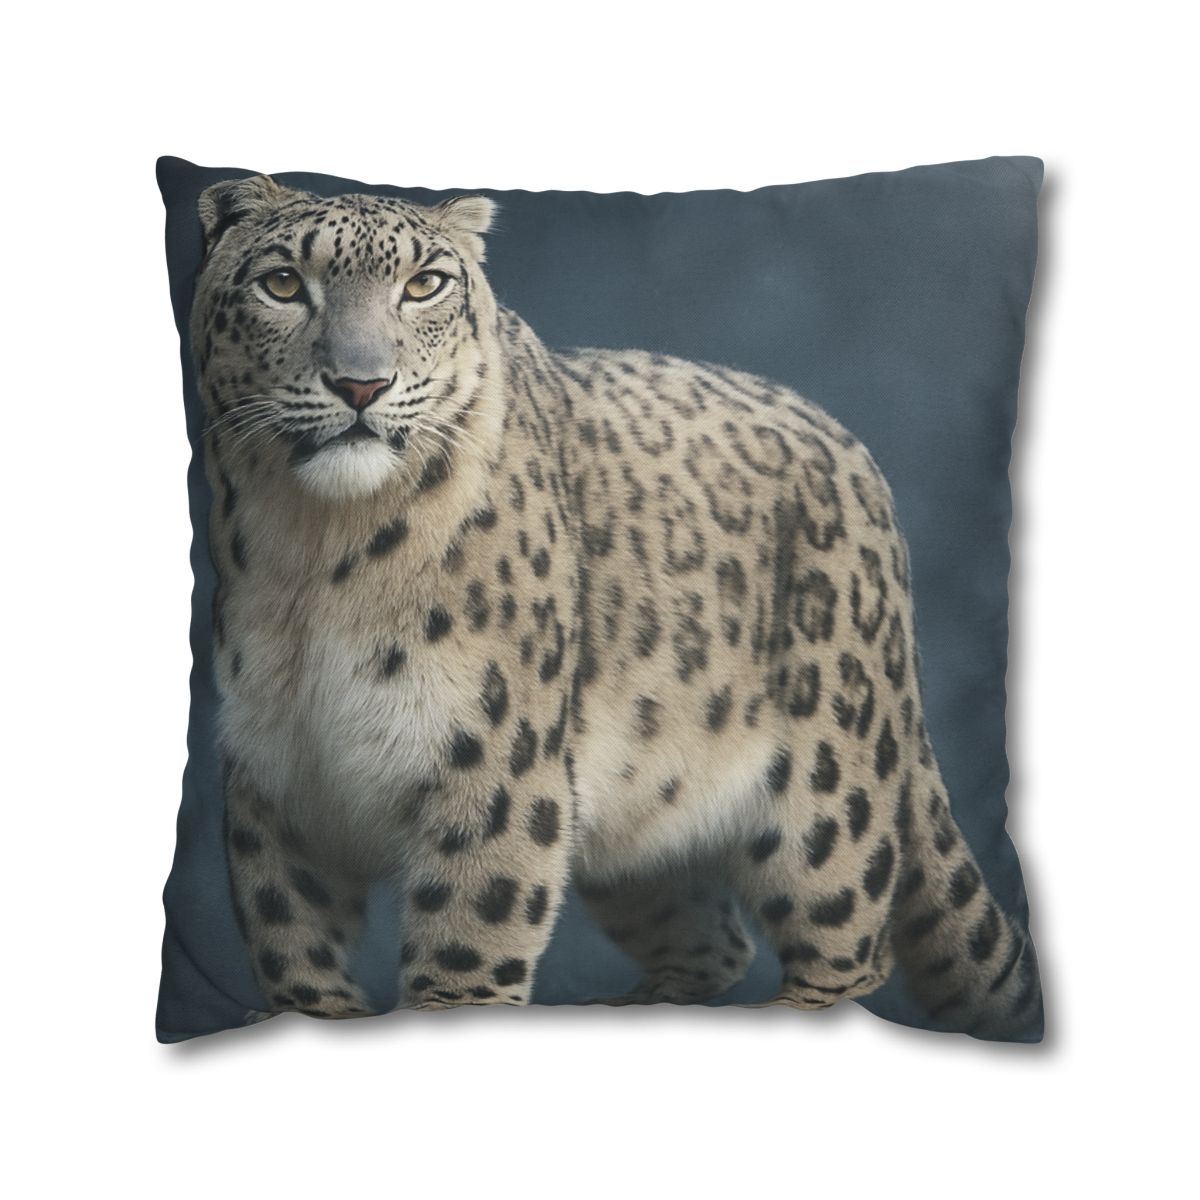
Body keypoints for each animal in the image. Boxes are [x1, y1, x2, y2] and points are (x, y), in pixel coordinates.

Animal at [190, 173, 1040, 1039]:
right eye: (282, 283)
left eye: (425, 284)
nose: (362, 384)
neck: (315, 555)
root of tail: (855, 454)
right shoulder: (275, 778)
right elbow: (294, 951)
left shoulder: (491, 766)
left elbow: (467, 951)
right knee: (711, 935)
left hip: (828, 797)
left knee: (847, 948)